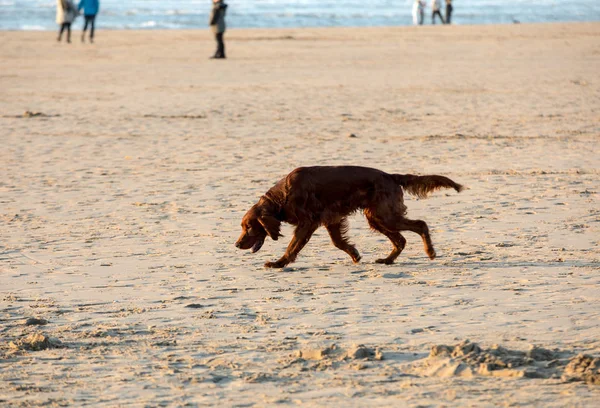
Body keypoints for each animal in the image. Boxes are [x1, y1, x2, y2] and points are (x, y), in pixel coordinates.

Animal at [234, 166, 464, 268]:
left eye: (248, 227)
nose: (236, 245)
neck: (282, 196)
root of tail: (391, 176)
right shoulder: (331, 219)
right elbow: (338, 242)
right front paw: (354, 254)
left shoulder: (307, 223)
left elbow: (292, 246)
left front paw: (279, 263)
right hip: (376, 217)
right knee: (401, 239)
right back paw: (387, 260)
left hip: (385, 216)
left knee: (420, 225)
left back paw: (430, 252)